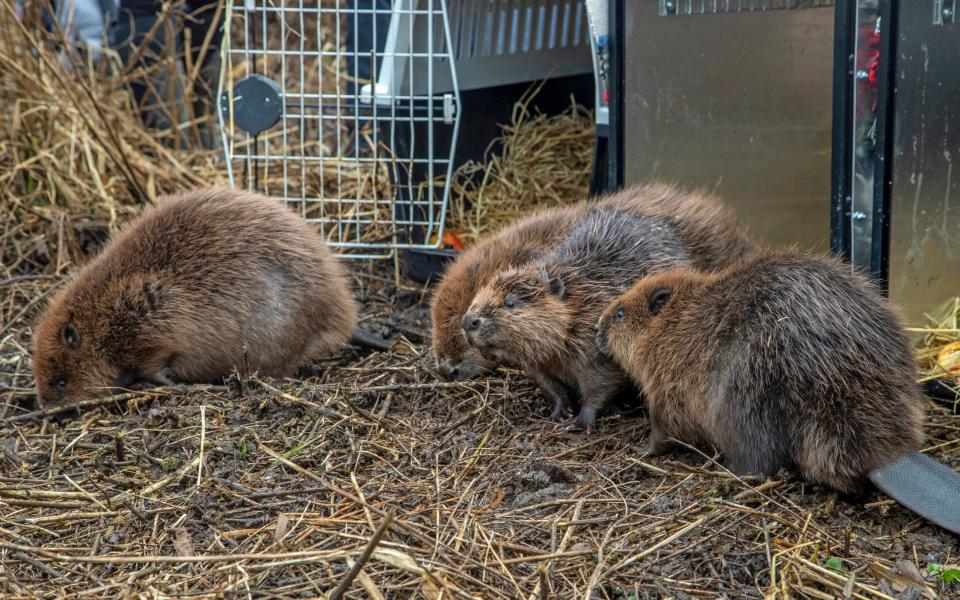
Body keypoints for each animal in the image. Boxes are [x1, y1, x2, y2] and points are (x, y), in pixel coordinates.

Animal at [33, 188, 358, 408]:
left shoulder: (154, 313)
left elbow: (155, 361)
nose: (46, 407)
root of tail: (342, 312)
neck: (103, 309)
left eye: (61, 382)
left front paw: (168, 383)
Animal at [464, 206, 688, 426]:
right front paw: (561, 411)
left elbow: (601, 382)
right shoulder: (537, 361)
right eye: (480, 293)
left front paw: (581, 421)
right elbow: (547, 383)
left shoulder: (595, 343)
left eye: (510, 302)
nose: (467, 321)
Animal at [596, 250, 928, 492]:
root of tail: (884, 457)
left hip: (744, 397)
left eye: (620, 313)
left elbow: (663, 427)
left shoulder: (667, 384)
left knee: (759, 462)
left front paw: (640, 449)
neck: (676, 324)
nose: (598, 327)